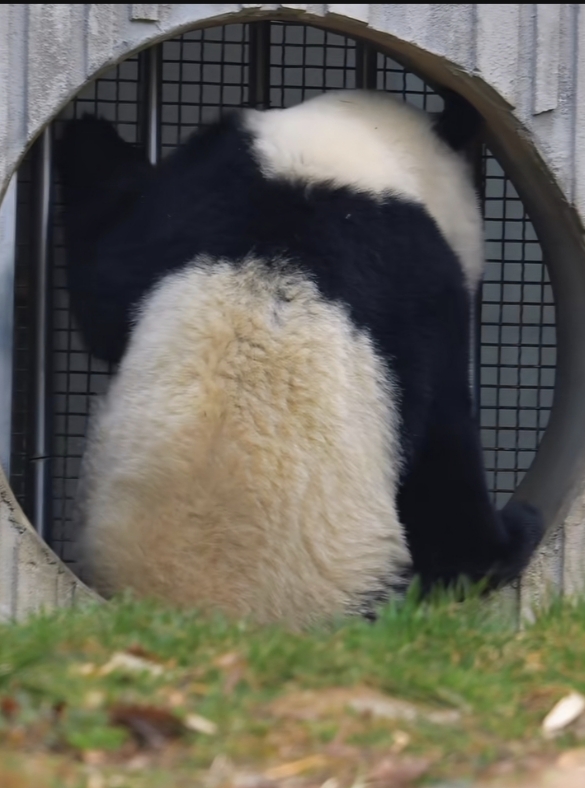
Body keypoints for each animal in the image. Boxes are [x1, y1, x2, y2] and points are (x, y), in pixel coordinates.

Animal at [56, 88, 544, 629]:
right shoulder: (422, 285)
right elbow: (444, 454)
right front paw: (509, 540)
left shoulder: (199, 199)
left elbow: (103, 283)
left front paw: (83, 135)